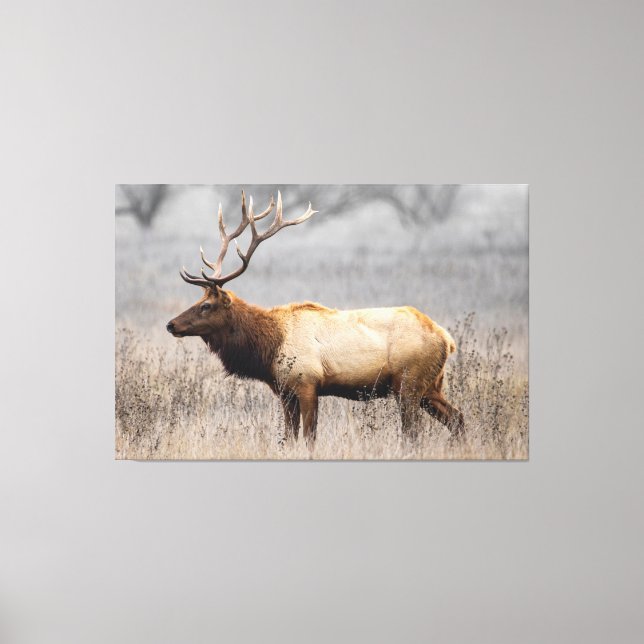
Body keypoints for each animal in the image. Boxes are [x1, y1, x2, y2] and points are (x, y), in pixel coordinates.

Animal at [166, 191, 464, 444]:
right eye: (197, 301)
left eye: (206, 306)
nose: (171, 324)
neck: (268, 348)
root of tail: (446, 339)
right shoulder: (284, 392)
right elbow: (289, 438)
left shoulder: (307, 383)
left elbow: (309, 437)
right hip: (430, 386)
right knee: (457, 418)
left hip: (408, 384)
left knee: (413, 432)